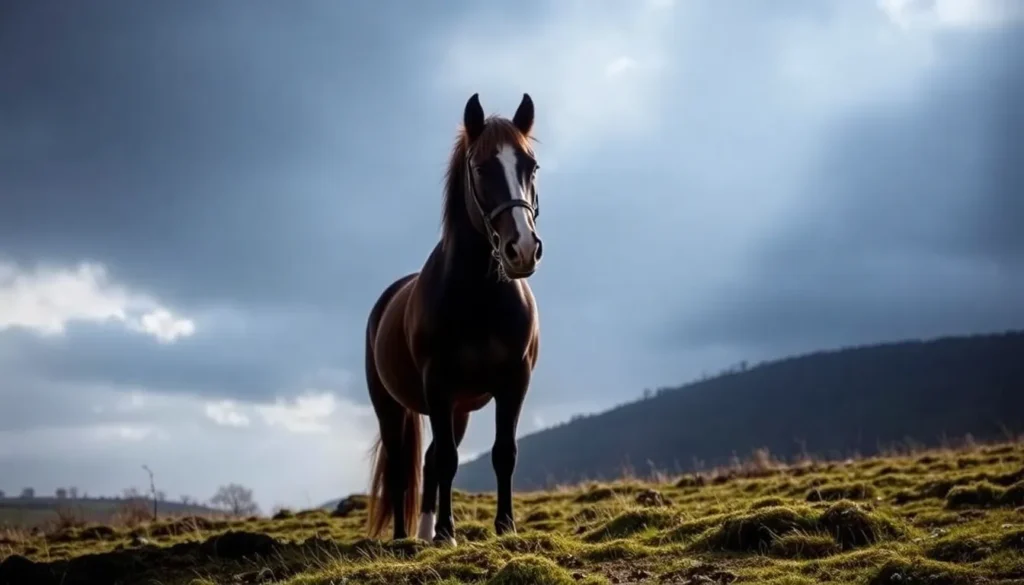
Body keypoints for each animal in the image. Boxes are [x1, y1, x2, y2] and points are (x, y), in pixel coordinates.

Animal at [363, 93, 543, 546]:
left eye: (531, 166)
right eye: (480, 168)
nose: (522, 249)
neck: (479, 300)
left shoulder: (514, 382)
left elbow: (503, 453)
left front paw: (505, 526)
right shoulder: (438, 385)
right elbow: (447, 459)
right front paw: (447, 530)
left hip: (458, 410)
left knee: (427, 462)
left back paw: (426, 532)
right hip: (392, 407)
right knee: (401, 469)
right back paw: (404, 537)